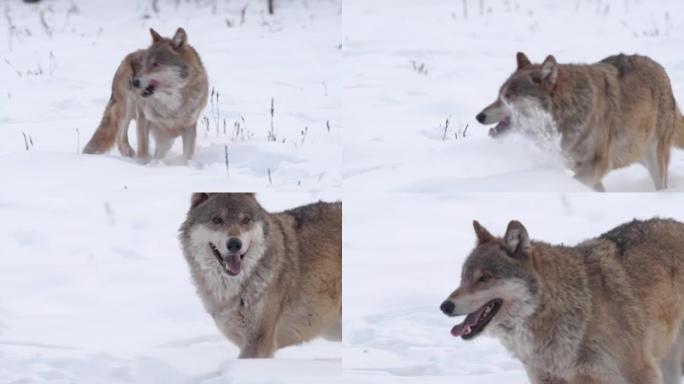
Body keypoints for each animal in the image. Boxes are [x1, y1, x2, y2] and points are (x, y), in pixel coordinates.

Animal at [82, 27, 208, 161]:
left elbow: (188, 155)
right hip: (127, 108)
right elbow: (143, 149)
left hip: (166, 139)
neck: (170, 102)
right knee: (120, 138)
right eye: (143, 64)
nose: (134, 81)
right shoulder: (143, 117)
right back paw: (130, 154)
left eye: (156, 64)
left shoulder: (189, 126)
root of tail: (128, 57)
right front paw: (142, 163)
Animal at [476, 53, 684, 191]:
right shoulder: (584, 168)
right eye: (499, 94)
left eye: (508, 97)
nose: (479, 116)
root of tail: (661, 69)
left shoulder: (598, 164)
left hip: (656, 159)